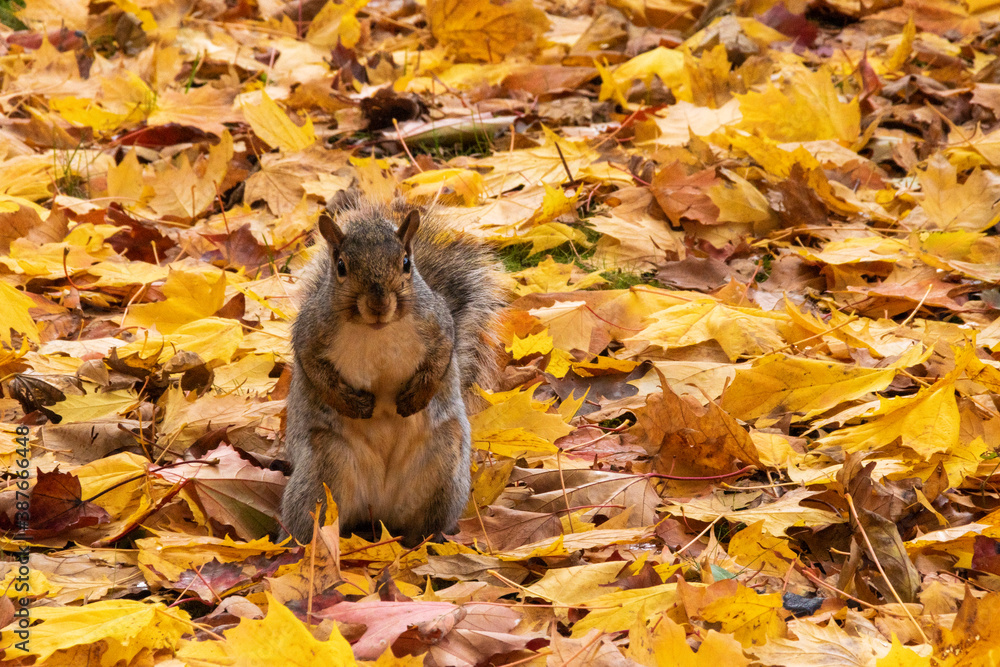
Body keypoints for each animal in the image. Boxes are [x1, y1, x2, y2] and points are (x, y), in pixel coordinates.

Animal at [280, 194, 500, 548]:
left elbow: (442, 357)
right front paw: (352, 404)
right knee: (311, 519)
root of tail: (379, 508)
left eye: (406, 263)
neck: (377, 329)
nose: (379, 304)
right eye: (340, 267)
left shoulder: (439, 322)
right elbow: (314, 369)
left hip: (445, 467)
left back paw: (425, 544)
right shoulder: (309, 331)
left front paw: (415, 398)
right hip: (320, 470)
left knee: (423, 527)